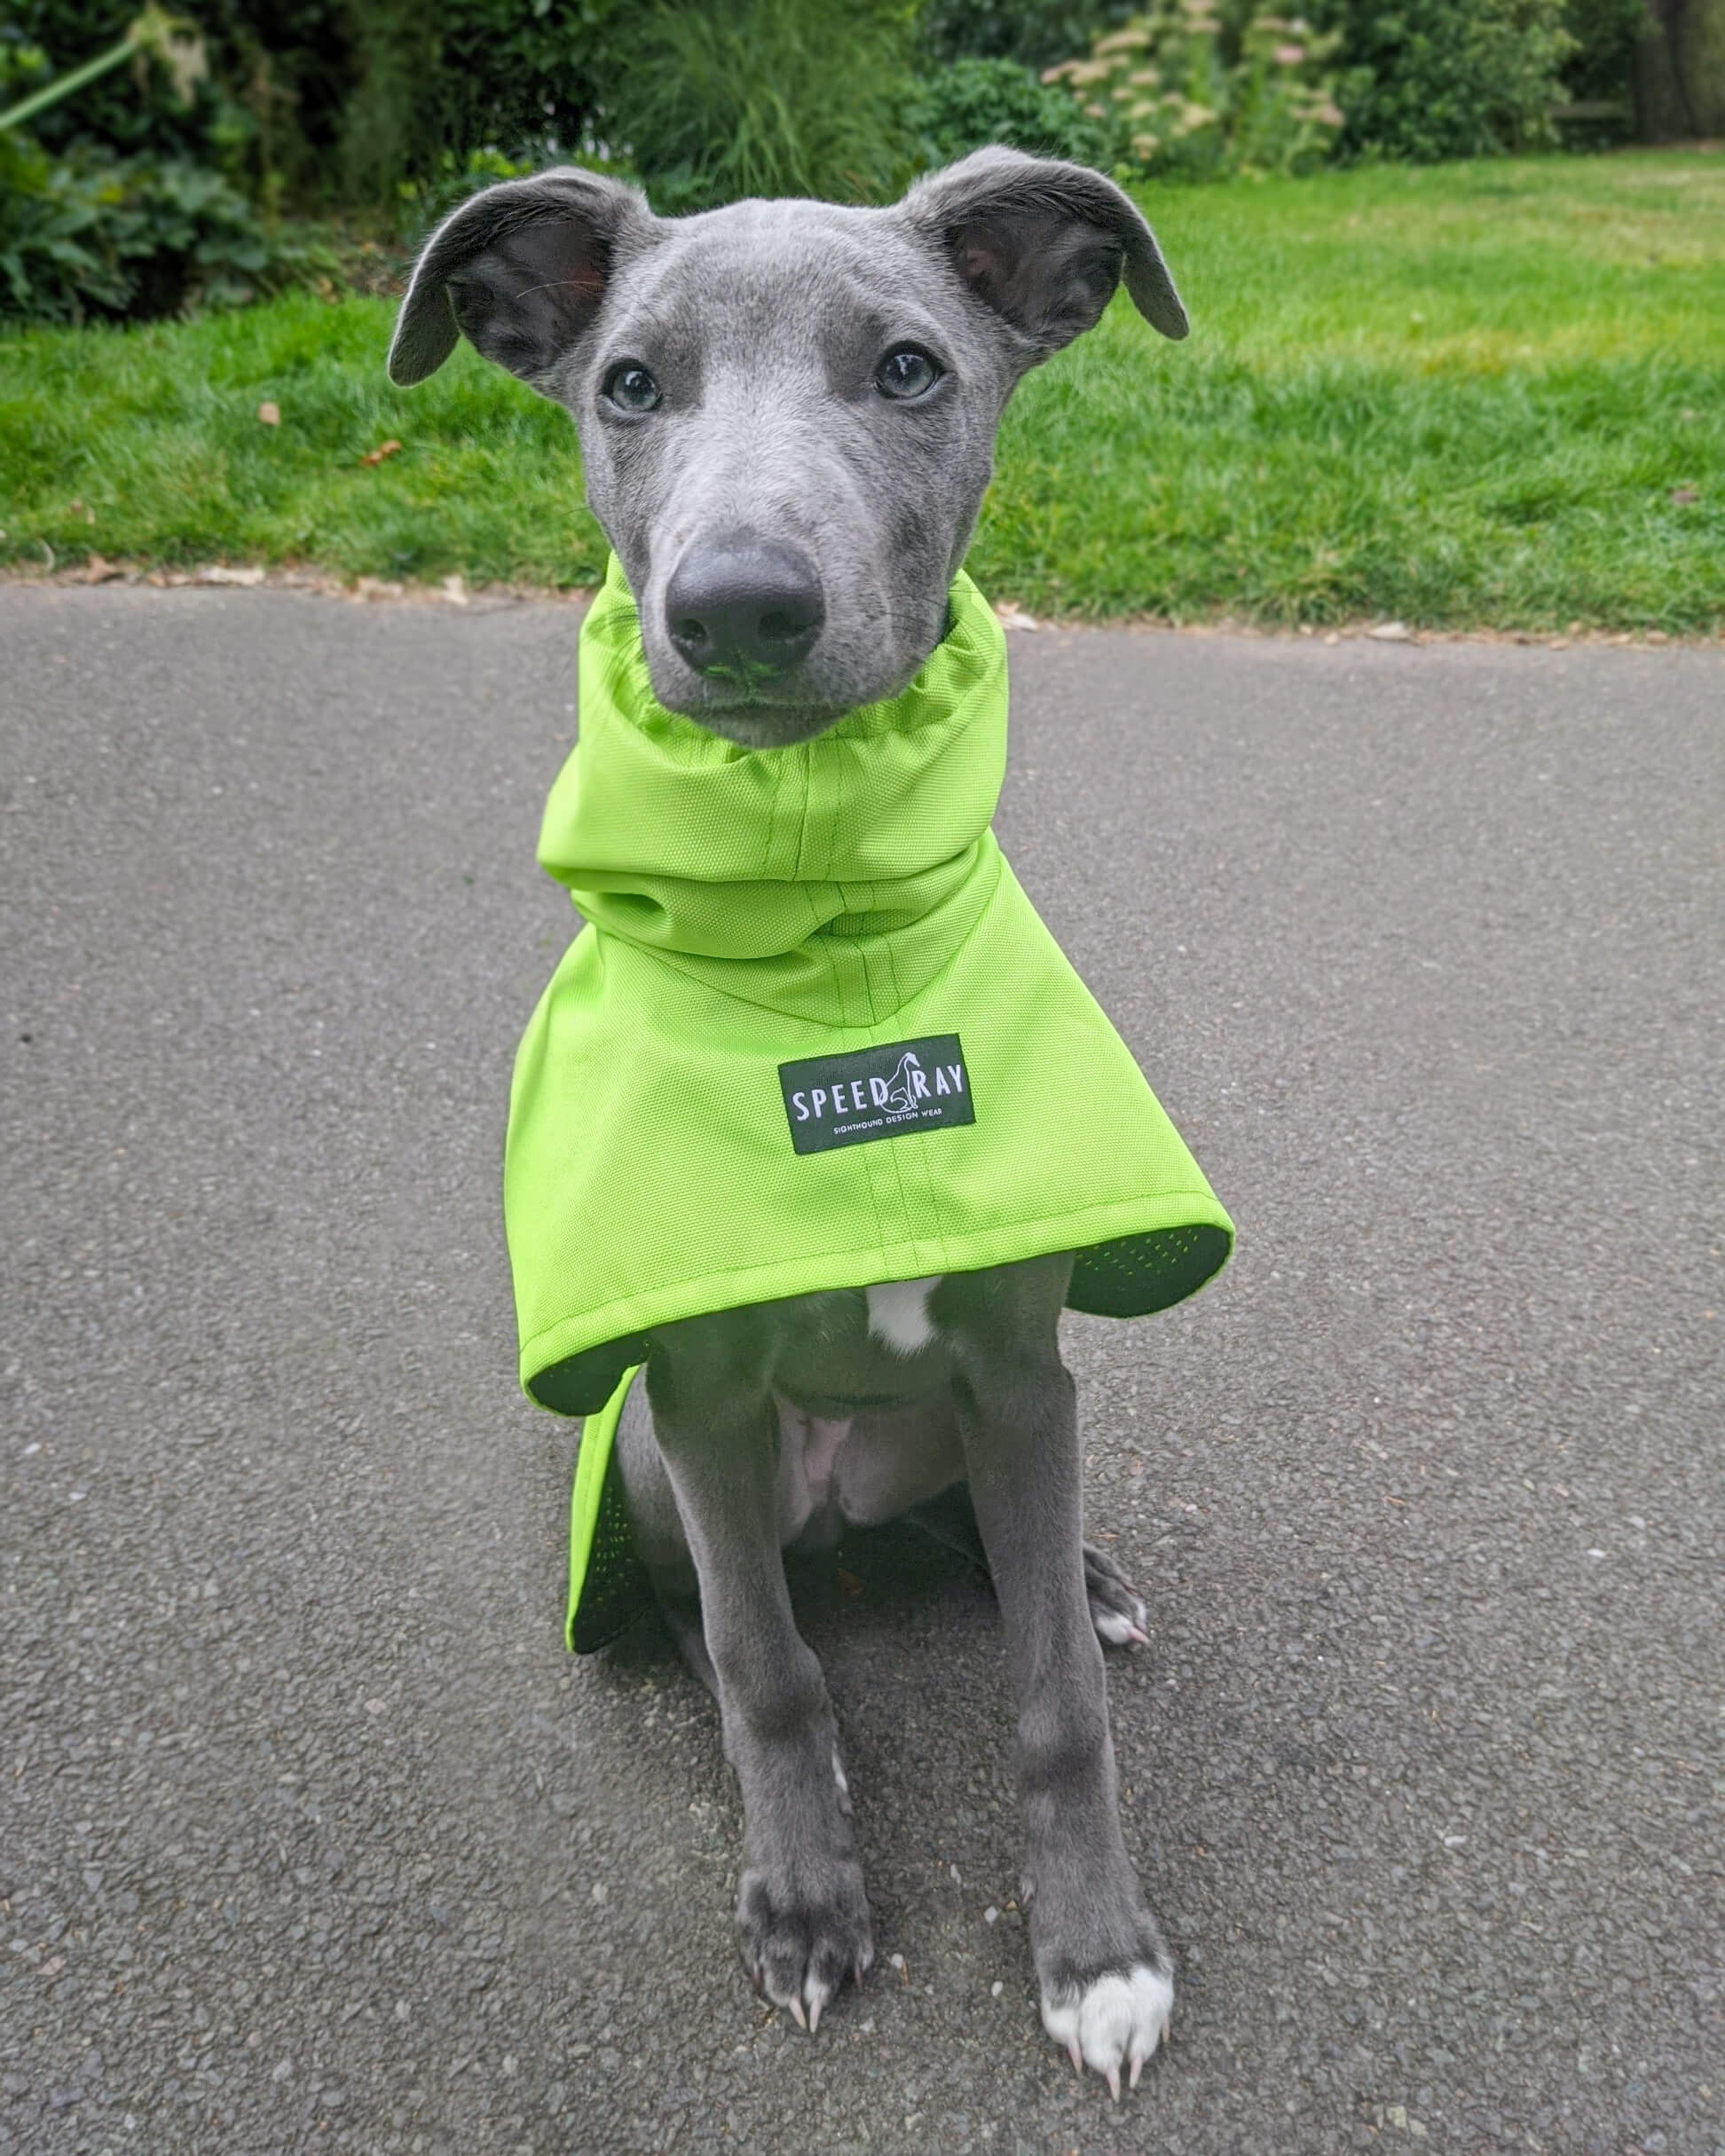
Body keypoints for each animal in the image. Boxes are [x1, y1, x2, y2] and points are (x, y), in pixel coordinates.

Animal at [392, 143, 1225, 2095]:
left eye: (910, 369)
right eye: (628, 386)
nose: (739, 611)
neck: (826, 930)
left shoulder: (1020, 1367)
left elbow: (1056, 1704)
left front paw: (1095, 1952)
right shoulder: (692, 1396)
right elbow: (765, 1674)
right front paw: (804, 1896)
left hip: (1000, 1424)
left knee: (1004, 1554)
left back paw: (1072, 1571)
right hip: (655, 1459)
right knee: (730, 1620)